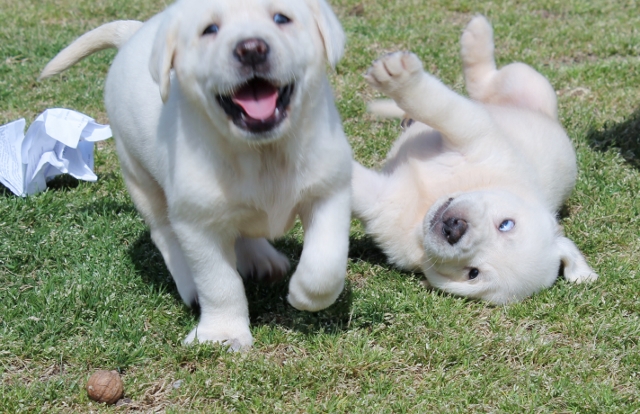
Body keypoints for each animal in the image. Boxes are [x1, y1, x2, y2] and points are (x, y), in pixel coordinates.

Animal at [41, 0, 350, 350]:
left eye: (282, 18)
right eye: (210, 29)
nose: (251, 49)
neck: (262, 153)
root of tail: (134, 33)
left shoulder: (330, 190)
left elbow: (326, 264)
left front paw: (304, 296)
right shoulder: (198, 223)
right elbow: (219, 282)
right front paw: (222, 333)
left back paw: (261, 258)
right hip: (140, 177)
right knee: (164, 233)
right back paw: (189, 282)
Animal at [352, 16, 596, 304]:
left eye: (473, 273)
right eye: (506, 224)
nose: (454, 229)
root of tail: (551, 118)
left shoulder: (382, 203)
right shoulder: (476, 133)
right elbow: (440, 106)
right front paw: (400, 78)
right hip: (528, 81)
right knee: (485, 84)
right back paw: (477, 34)